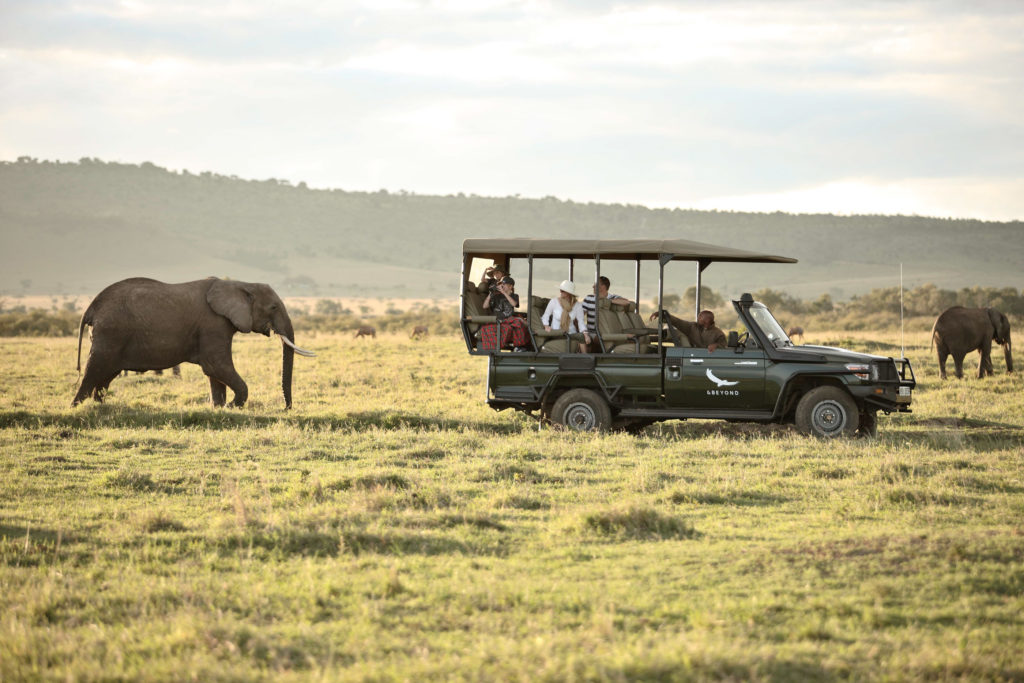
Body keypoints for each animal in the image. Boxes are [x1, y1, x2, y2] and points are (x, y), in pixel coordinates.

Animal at [73, 277, 314, 408]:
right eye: (273, 307)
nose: (286, 408)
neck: (241, 284)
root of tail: (91, 308)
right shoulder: (213, 325)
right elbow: (217, 366)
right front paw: (231, 407)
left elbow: (215, 374)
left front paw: (219, 408)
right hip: (110, 333)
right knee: (93, 370)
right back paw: (76, 408)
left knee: (105, 376)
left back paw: (100, 407)